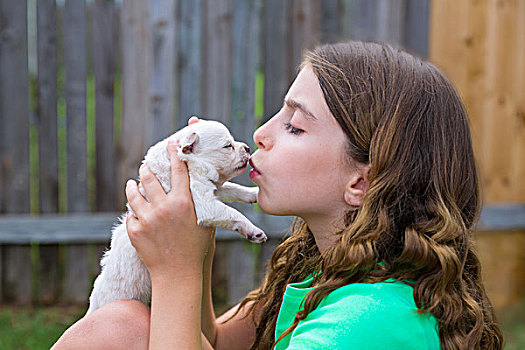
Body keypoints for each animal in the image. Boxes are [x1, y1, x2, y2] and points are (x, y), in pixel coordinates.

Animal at [88, 119, 266, 314]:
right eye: (228, 146)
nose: (248, 147)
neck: (186, 164)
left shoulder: (212, 190)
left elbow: (232, 188)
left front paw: (254, 193)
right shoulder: (204, 202)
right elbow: (232, 212)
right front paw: (254, 231)